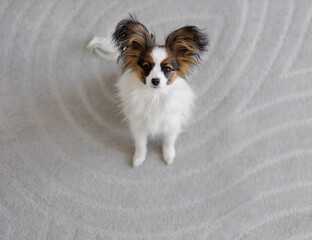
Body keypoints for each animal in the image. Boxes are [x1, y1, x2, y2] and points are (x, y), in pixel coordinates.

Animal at [88, 15, 208, 167]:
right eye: (146, 67)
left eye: (167, 69)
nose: (155, 80)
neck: (155, 96)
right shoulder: (138, 125)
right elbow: (140, 144)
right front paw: (138, 158)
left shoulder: (171, 122)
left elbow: (169, 141)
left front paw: (168, 155)